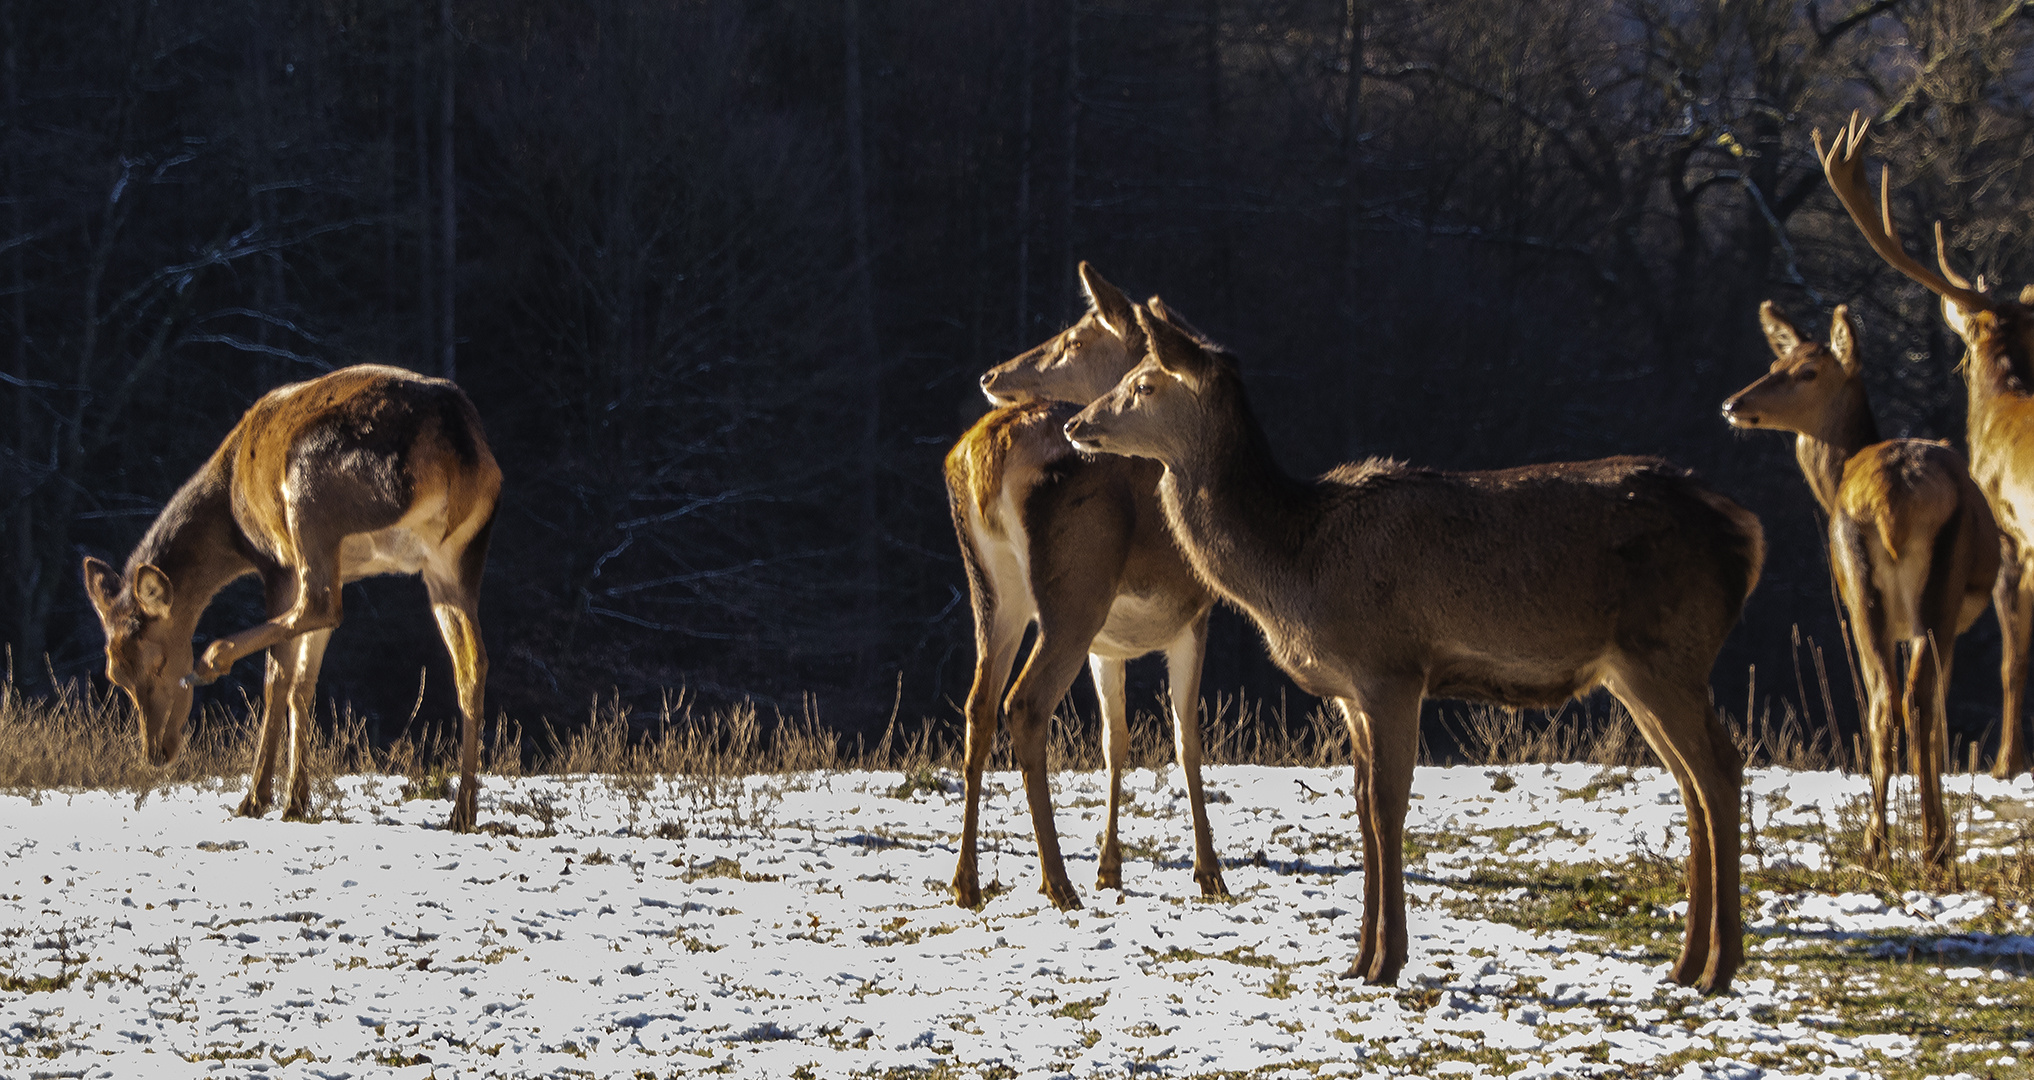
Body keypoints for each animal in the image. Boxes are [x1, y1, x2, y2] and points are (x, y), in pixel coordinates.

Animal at [84, 364, 504, 829]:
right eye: (115, 676)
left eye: (157, 663)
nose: (156, 751)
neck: (230, 512)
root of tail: (458, 445)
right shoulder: (344, 569)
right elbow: (303, 683)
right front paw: (296, 800)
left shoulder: (277, 562)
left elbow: (277, 678)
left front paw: (257, 798)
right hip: (453, 556)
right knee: (471, 662)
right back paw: (463, 810)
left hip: (311, 504)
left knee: (323, 605)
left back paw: (214, 658)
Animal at [939, 264, 1220, 911]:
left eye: (1071, 340)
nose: (992, 375)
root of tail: (980, 456)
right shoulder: (1194, 614)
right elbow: (1186, 737)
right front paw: (1209, 873)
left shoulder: (1107, 644)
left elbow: (1115, 740)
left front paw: (1110, 867)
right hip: (1075, 592)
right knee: (1025, 703)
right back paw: (1057, 881)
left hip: (994, 591)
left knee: (978, 704)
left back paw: (966, 881)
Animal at [1065, 301, 1765, 992]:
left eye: (1144, 384)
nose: (1076, 424)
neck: (1295, 570)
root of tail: (1747, 532)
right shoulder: (1352, 691)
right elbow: (1361, 806)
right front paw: (1358, 962)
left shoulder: (1390, 667)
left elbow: (1385, 808)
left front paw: (1387, 961)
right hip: (1631, 670)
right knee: (1690, 785)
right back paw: (1685, 964)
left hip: (1668, 652)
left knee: (1720, 771)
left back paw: (1718, 966)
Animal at [1724, 298, 1993, 870]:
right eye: (1776, 362)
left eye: (1807, 370)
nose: (1734, 403)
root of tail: (1891, 501)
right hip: (1920, 594)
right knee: (1908, 701)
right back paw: (1924, 844)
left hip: (1868, 589)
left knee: (1892, 702)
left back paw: (1892, 844)